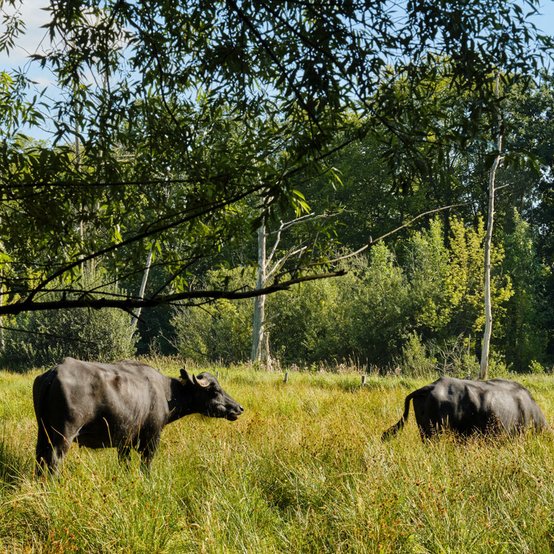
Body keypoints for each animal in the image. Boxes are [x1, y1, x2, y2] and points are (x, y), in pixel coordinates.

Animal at [34, 358, 242, 470]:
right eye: (214, 390)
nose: (238, 408)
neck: (166, 392)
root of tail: (54, 372)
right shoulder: (151, 439)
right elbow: (146, 466)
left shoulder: (124, 443)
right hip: (63, 436)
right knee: (54, 461)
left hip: (43, 434)